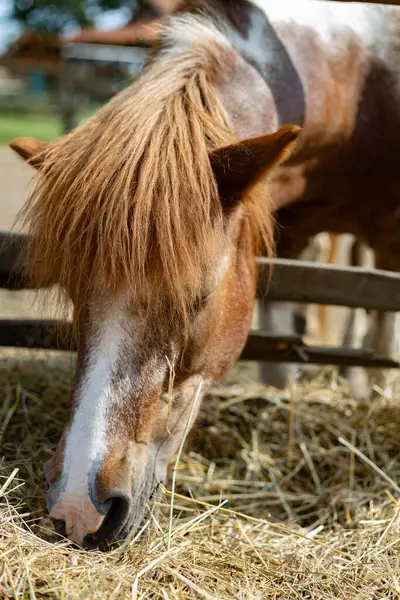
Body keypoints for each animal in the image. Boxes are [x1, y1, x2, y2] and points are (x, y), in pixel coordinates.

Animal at [9, 0, 400, 548]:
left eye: (198, 298)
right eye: (72, 291)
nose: (78, 509)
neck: (358, 78)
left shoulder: (389, 235)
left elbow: (383, 338)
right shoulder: (283, 234)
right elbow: (279, 366)